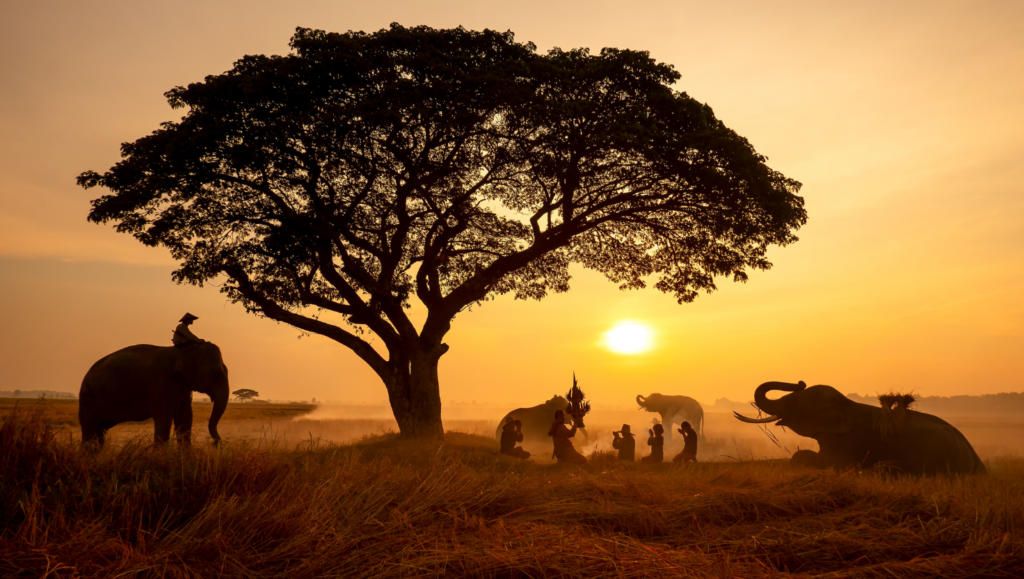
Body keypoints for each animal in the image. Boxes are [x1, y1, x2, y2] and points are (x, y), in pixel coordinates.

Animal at [79, 342, 230, 448]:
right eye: (217, 372)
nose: (217, 443)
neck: (184, 350)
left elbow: (185, 418)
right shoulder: (160, 383)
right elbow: (164, 419)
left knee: (99, 432)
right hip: (88, 399)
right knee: (89, 430)